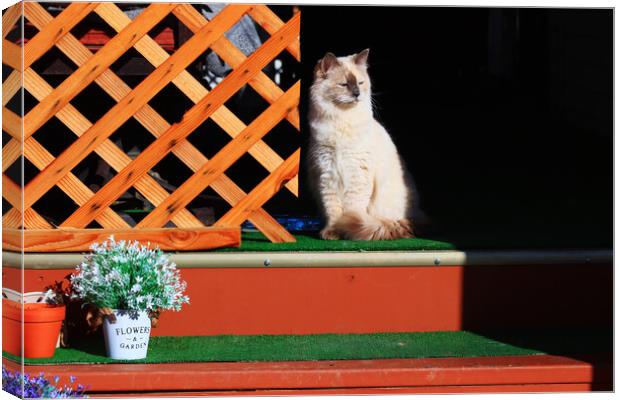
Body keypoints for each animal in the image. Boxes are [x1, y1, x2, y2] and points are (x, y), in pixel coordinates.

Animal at [308, 48, 416, 239]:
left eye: (360, 82)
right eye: (344, 84)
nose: (357, 94)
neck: (341, 119)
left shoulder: (357, 173)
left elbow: (351, 211)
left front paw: (346, 232)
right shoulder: (327, 173)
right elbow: (333, 210)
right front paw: (332, 232)